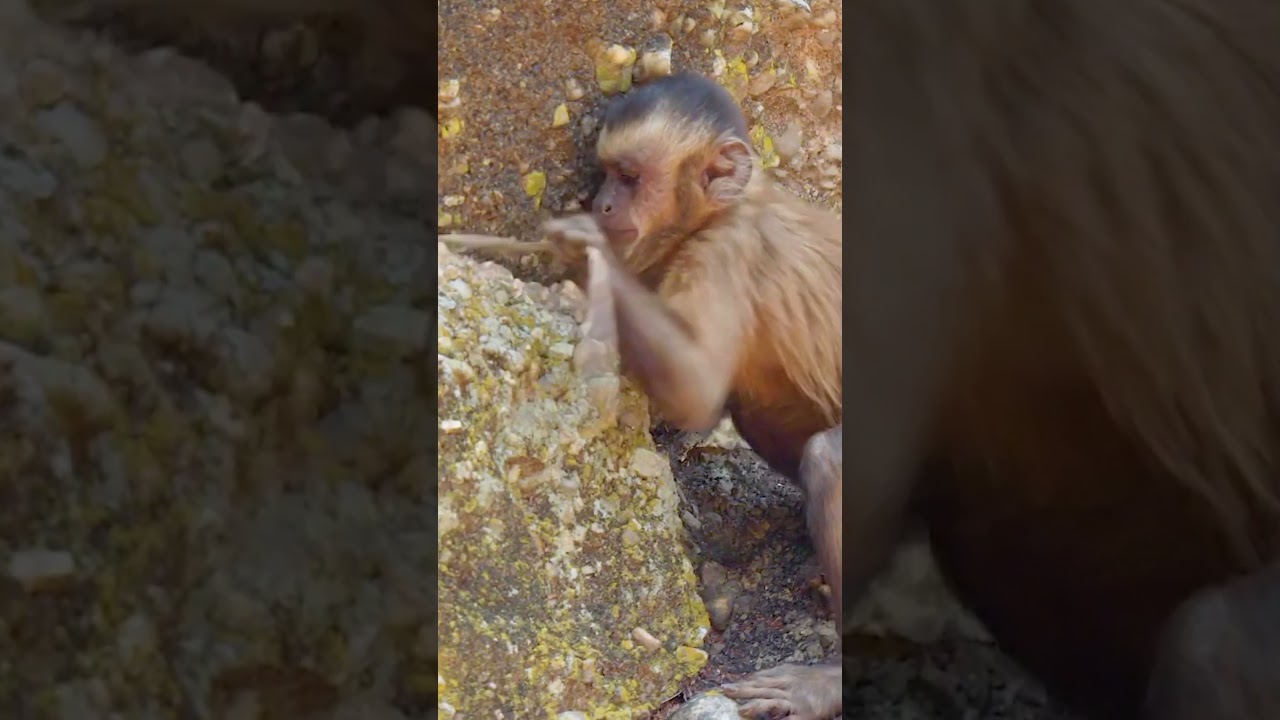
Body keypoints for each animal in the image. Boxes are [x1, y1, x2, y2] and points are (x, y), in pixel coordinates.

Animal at [540, 71, 844, 719]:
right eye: (605, 173)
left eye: (630, 178)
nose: (601, 205)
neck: (726, 209)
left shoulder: (723, 251)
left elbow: (696, 389)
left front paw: (584, 252)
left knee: (827, 456)